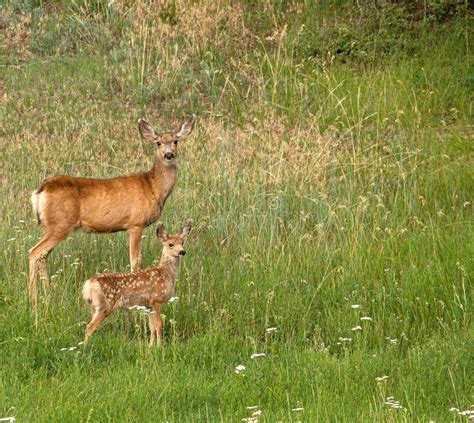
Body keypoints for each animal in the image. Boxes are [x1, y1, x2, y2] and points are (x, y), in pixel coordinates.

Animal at [28, 116, 195, 308]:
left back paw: (47, 293)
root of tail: (40, 190)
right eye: (158, 142)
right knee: (34, 252)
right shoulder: (136, 223)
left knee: (43, 256)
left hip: (52, 226)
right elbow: (135, 259)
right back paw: (33, 297)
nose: (169, 155)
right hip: (60, 224)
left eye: (175, 141)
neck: (153, 187)